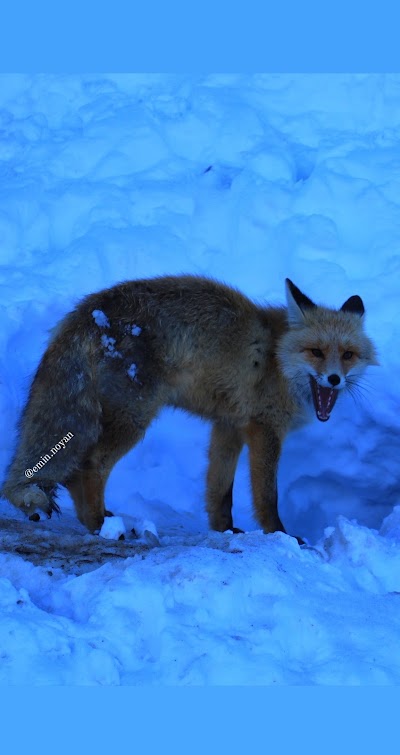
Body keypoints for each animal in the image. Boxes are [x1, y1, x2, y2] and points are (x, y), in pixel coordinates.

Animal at [0, 276, 376, 536]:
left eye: (348, 355)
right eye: (315, 352)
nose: (334, 380)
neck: (275, 359)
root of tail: (90, 310)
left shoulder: (229, 425)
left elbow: (220, 490)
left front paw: (224, 530)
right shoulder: (265, 428)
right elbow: (267, 495)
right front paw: (281, 536)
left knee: (76, 472)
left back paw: (100, 518)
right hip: (135, 419)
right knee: (88, 465)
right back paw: (98, 525)